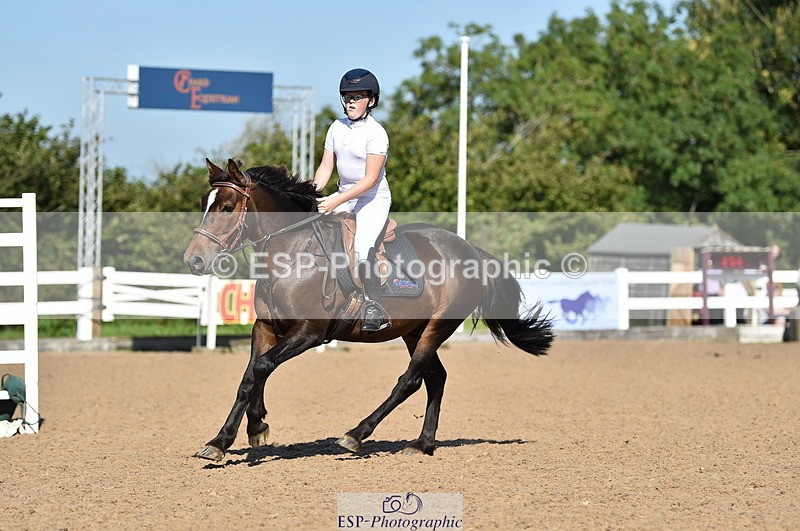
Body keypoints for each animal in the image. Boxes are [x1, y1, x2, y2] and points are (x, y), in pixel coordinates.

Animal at [183, 158, 554, 461]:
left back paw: (356, 435)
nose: (193, 260)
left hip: (437, 327)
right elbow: (250, 376)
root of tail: (472, 251)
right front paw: (227, 438)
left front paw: (252, 428)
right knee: (435, 378)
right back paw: (422, 444)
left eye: (228, 207)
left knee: (410, 380)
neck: (292, 256)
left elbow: (262, 367)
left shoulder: (308, 332)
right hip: (414, 330)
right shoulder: (265, 327)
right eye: (204, 204)